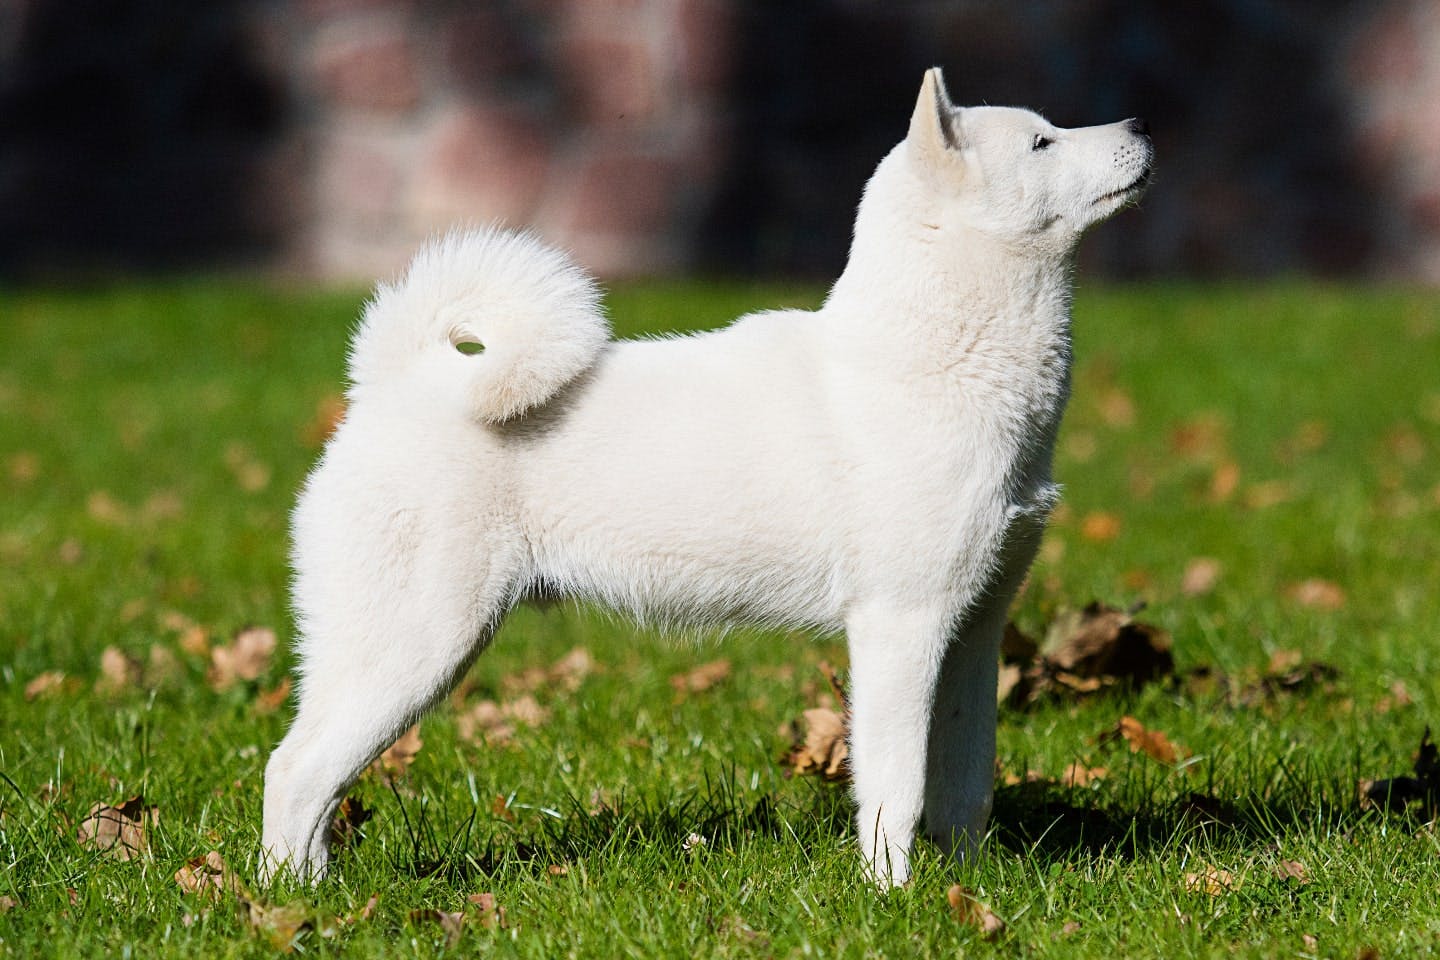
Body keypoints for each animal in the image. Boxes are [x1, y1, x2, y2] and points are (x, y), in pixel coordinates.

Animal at [264, 67, 1152, 892]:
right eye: (1040, 142)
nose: (1142, 124)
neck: (935, 359)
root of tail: (392, 385)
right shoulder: (900, 629)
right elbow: (896, 788)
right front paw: (892, 898)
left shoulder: (973, 633)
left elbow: (965, 789)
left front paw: (966, 889)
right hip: (415, 647)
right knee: (295, 772)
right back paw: (294, 904)